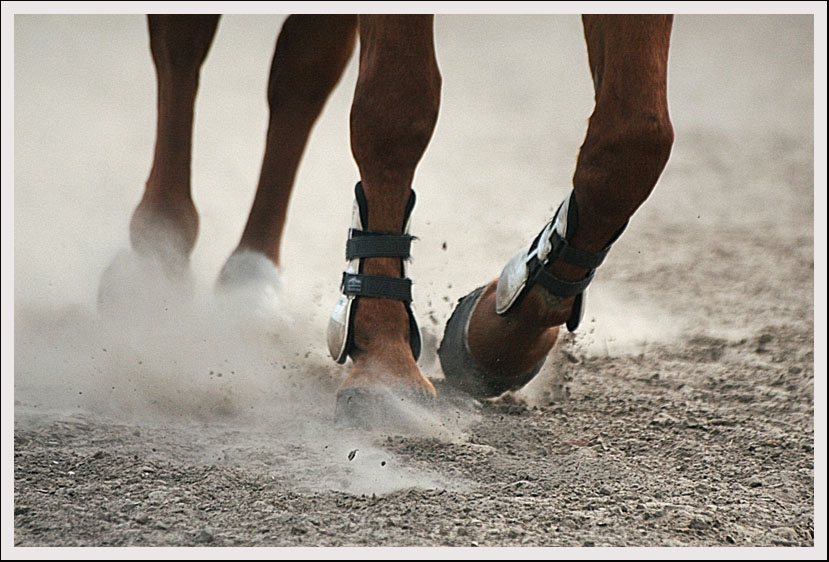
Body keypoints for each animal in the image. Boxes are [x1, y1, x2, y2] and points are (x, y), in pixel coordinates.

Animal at [120, 14, 674, 426]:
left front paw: (498, 337)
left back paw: (250, 279)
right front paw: (386, 364)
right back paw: (156, 255)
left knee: (303, 68)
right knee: (184, 43)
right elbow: (395, 108)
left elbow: (635, 141)